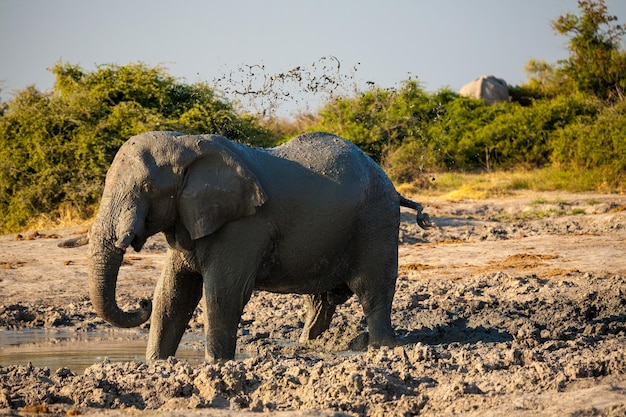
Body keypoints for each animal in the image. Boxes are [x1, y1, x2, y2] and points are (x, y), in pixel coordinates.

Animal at [88, 129, 428, 360]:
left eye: (147, 187)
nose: (140, 302)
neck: (187, 144)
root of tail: (392, 186)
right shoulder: (188, 217)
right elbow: (174, 293)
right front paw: (157, 364)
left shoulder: (243, 226)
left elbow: (222, 293)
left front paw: (216, 365)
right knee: (323, 299)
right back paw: (307, 345)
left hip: (377, 220)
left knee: (372, 287)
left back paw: (384, 348)